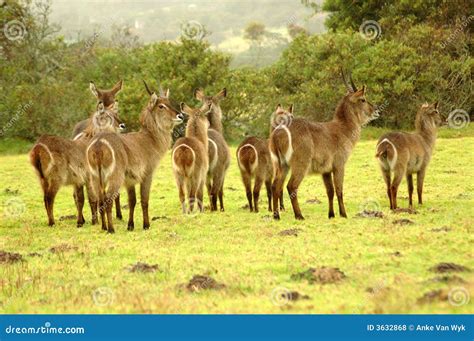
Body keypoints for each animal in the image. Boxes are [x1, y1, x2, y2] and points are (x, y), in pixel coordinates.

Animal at [85, 89, 181, 232]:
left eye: (169, 102)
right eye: (161, 106)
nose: (181, 115)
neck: (150, 139)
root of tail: (98, 143)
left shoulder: (129, 180)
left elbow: (132, 201)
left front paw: (130, 225)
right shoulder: (147, 174)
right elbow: (144, 200)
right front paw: (146, 225)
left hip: (95, 177)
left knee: (100, 199)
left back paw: (103, 227)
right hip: (115, 177)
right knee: (108, 199)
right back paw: (111, 229)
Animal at [270, 72, 378, 220]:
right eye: (363, 99)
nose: (376, 110)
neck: (343, 128)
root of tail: (278, 130)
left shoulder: (325, 170)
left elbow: (330, 191)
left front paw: (331, 214)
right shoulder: (339, 165)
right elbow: (339, 190)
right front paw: (343, 214)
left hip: (281, 165)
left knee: (276, 186)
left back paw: (276, 216)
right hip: (300, 164)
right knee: (291, 186)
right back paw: (299, 215)